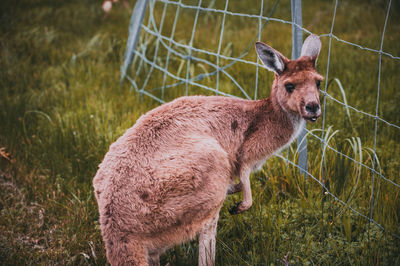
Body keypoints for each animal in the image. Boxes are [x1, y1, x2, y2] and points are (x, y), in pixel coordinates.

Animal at [94, 34, 324, 264]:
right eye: (290, 86)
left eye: (319, 83)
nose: (313, 107)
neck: (267, 115)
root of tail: (117, 231)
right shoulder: (246, 153)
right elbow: (246, 181)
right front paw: (241, 204)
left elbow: (240, 182)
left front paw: (234, 190)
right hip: (206, 174)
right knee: (206, 235)